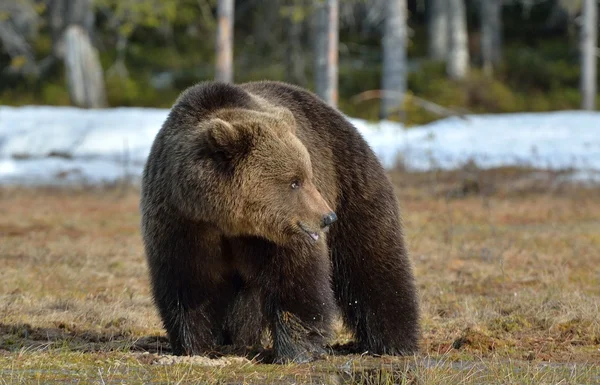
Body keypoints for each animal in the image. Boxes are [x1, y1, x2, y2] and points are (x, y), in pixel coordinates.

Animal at [141, 79, 422, 362]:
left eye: (307, 176)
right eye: (294, 182)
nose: (327, 217)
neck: (225, 219)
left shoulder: (276, 235)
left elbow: (296, 280)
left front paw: (296, 350)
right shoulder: (180, 222)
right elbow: (188, 284)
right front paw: (196, 347)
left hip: (351, 180)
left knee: (371, 261)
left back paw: (394, 342)